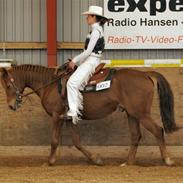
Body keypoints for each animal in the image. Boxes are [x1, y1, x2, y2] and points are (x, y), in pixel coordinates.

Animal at [0, 64, 177, 166]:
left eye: (8, 85)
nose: (11, 105)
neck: (50, 84)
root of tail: (145, 74)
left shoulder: (57, 116)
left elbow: (54, 140)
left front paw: (49, 162)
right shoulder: (69, 118)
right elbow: (77, 141)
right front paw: (95, 159)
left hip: (141, 114)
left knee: (158, 130)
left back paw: (167, 160)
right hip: (132, 114)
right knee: (136, 136)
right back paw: (128, 163)